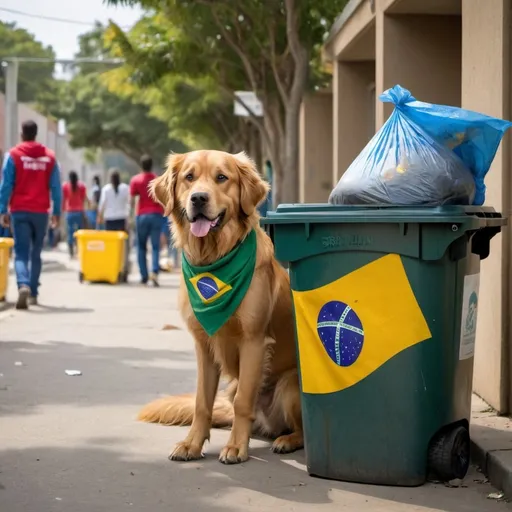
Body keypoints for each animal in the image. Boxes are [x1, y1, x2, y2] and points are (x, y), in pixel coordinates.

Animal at [138, 149, 302, 464]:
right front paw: (192, 444)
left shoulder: (253, 340)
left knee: (299, 430)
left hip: (289, 385)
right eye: (189, 177)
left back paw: (287, 440)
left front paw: (236, 447)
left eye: (222, 177)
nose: (198, 198)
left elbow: (243, 403)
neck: (213, 259)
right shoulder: (203, 344)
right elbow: (202, 402)